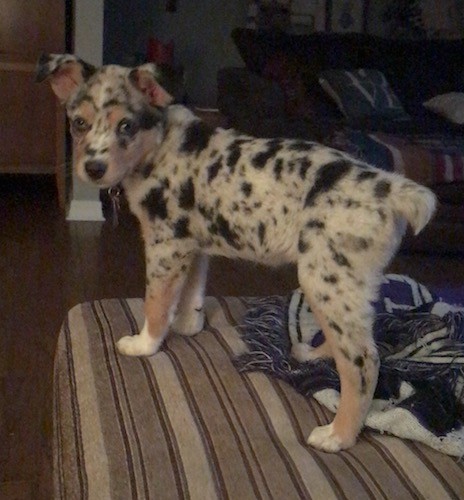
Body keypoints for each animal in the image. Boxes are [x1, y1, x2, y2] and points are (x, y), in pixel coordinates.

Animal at [37, 54, 436, 454]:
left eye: (126, 125)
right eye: (79, 123)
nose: (93, 168)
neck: (159, 144)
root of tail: (392, 190)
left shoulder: (166, 245)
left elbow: (156, 301)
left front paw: (146, 342)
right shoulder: (192, 245)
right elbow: (191, 294)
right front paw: (188, 325)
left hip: (325, 277)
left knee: (363, 361)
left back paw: (338, 435)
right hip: (343, 284)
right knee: (352, 341)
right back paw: (313, 356)